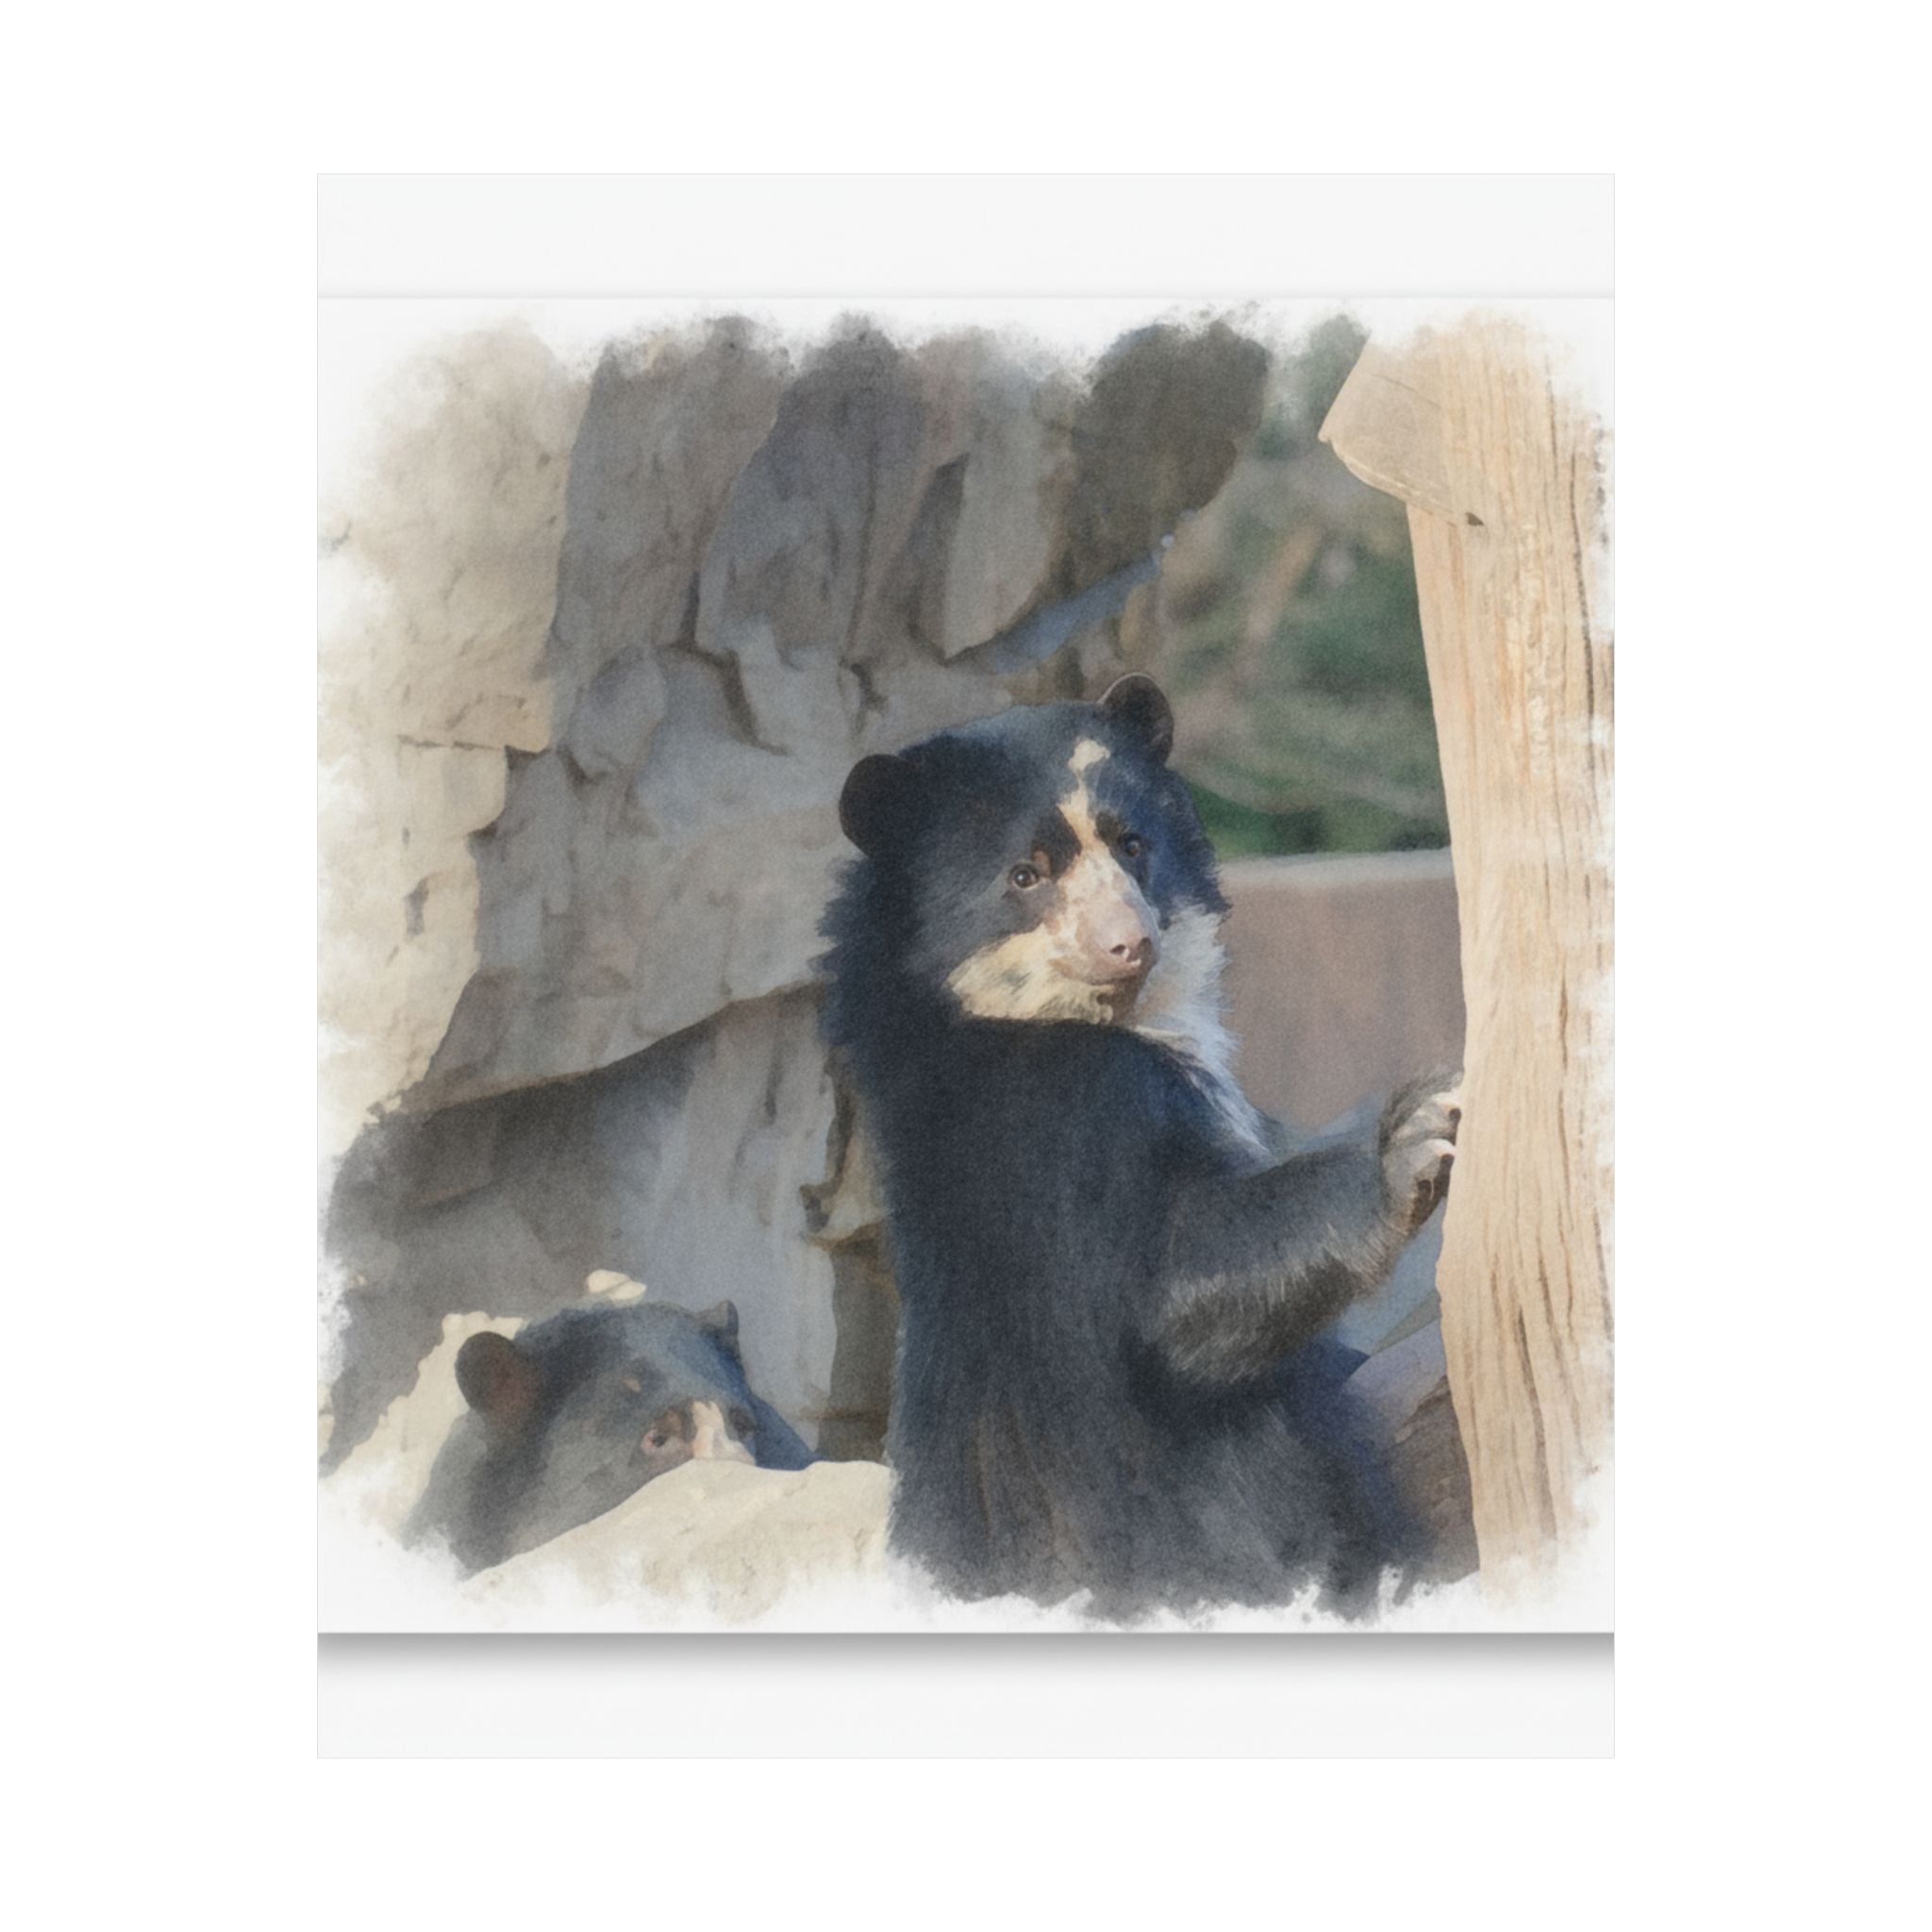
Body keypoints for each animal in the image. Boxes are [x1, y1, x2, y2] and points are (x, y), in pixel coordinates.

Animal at [819, 673, 1459, 1617]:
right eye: (1026, 874)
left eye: (1132, 843)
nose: (1129, 944)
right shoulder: (1070, 1124)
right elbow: (1178, 1283)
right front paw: (1418, 1133)